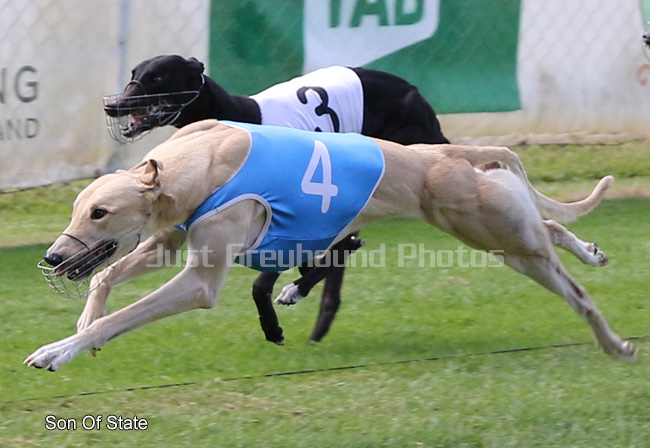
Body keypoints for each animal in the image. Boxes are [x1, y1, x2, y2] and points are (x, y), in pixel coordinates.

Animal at [26, 120, 634, 372]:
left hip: (499, 236)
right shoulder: (169, 243)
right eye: (78, 208)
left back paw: (616, 344)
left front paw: (57, 351)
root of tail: (459, 154)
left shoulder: (199, 280)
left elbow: (129, 311)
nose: (53, 258)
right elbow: (106, 277)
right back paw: (590, 252)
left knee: (576, 291)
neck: (199, 163)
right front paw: (82, 329)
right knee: (550, 228)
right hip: (504, 232)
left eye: (100, 212)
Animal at [103, 54, 450, 344]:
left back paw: (301, 292)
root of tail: (415, 93)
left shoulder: (290, 220)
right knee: (339, 251)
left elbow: (262, 283)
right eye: (134, 74)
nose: (113, 106)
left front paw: (273, 326)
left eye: (157, 78)